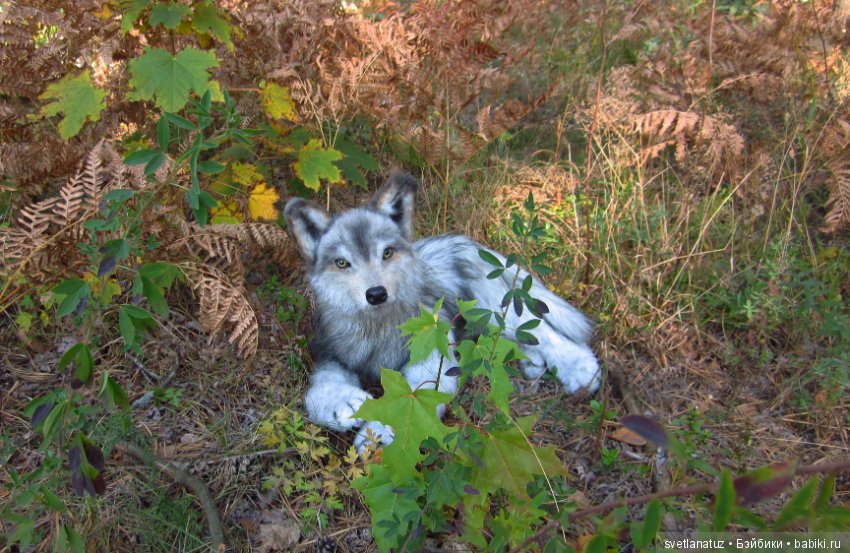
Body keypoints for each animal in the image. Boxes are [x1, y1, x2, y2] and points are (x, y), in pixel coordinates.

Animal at [284, 173, 600, 448]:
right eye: (342, 263)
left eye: (387, 253)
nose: (376, 294)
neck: (377, 329)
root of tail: (462, 242)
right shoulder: (329, 353)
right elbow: (318, 389)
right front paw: (345, 404)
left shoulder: (432, 361)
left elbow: (413, 398)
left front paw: (381, 434)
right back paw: (532, 363)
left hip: (493, 310)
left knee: (544, 332)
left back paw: (581, 370)